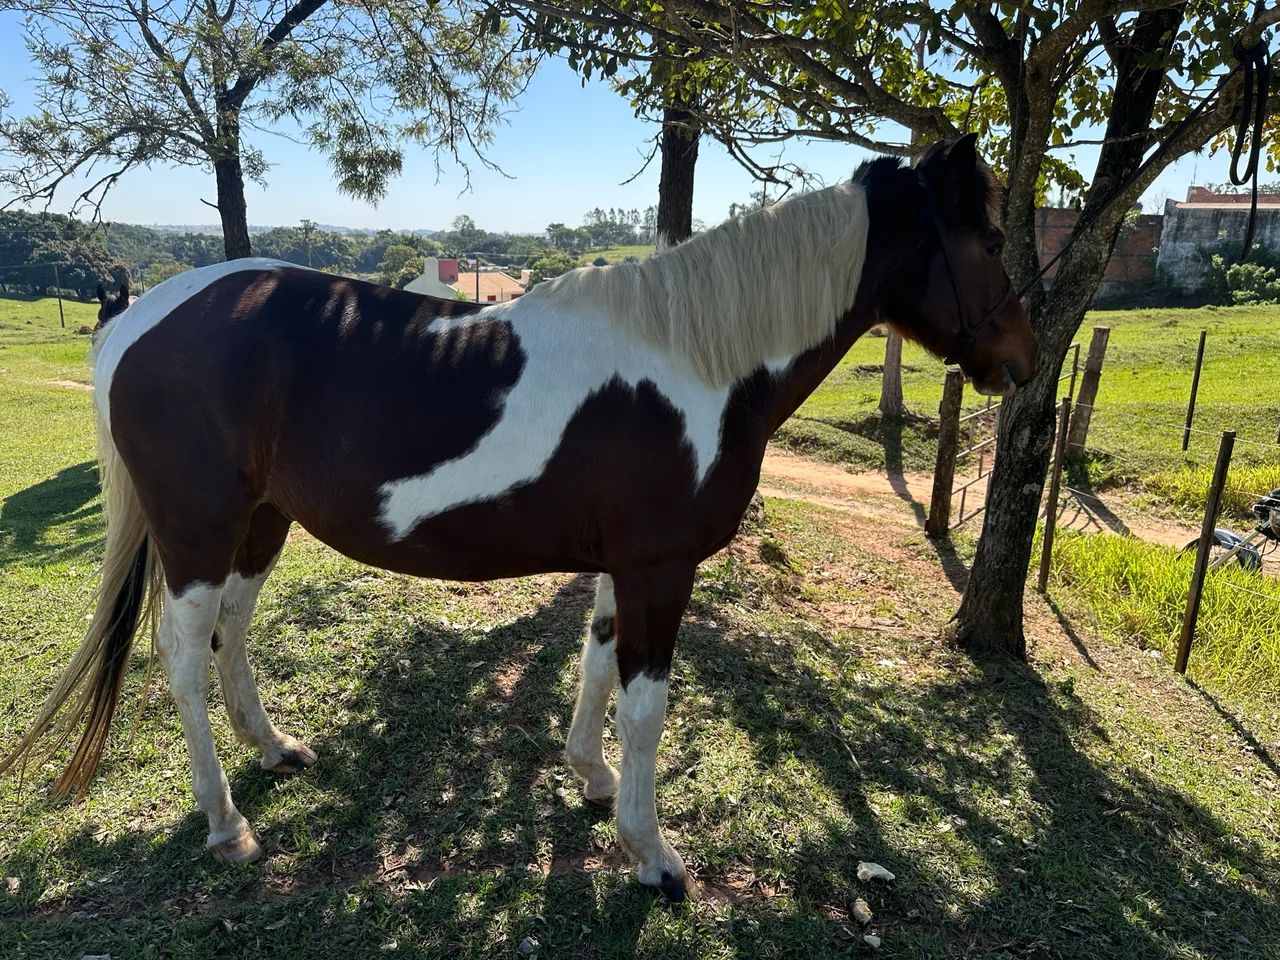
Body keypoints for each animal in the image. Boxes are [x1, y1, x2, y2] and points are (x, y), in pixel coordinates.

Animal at [2, 135, 1037, 902]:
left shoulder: (628, 563)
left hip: (260, 523)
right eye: (988, 240)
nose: (1024, 361)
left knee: (232, 633)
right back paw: (225, 823)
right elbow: (646, 705)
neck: (695, 361)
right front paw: (651, 855)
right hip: (200, 530)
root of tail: (143, 318)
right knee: (182, 653)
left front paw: (591, 778)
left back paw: (275, 751)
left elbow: (595, 663)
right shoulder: (662, 566)